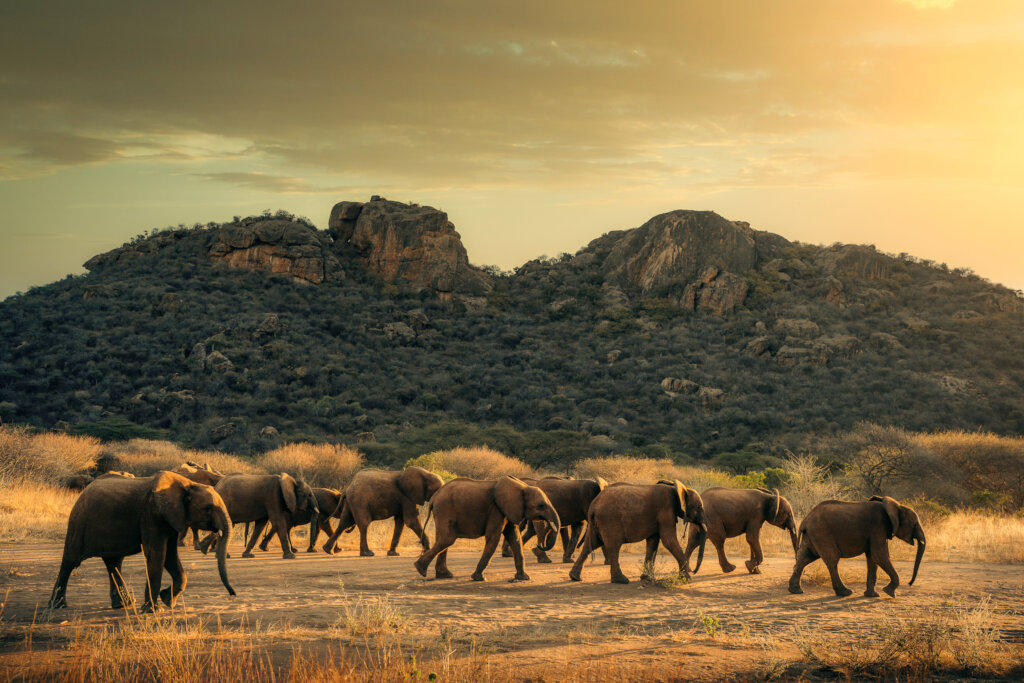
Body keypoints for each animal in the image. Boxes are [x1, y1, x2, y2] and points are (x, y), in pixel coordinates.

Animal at [47, 471, 235, 611]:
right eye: (208, 508)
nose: (233, 594)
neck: (187, 484)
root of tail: (84, 491)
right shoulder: (151, 514)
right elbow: (157, 554)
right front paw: (153, 610)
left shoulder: (171, 518)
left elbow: (170, 556)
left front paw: (167, 600)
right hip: (78, 520)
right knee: (70, 561)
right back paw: (57, 606)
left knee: (114, 563)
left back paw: (124, 605)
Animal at [413, 476, 561, 582]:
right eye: (541, 506)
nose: (539, 545)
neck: (522, 487)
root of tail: (434, 498)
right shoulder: (496, 511)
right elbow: (493, 538)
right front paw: (479, 578)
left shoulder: (508, 511)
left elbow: (515, 538)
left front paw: (523, 578)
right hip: (445, 510)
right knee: (447, 539)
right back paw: (420, 569)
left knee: (444, 541)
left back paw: (443, 575)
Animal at [569, 480, 707, 584]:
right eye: (699, 507)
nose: (694, 571)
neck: (676, 488)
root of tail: (593, 505)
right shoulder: (666, 511)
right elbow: (669, 541)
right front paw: (687, 579)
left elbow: (653, 542)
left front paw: (647, 578)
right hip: (609, 521)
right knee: (613, 546)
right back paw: (621, 580)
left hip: (596, 523)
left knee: (590, 544)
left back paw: (575, 577)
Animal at [788, 495, 926, 597]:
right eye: (914, 525)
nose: (910, 583)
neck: (897, 506)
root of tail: (805, 520)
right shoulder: (877, 526)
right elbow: (879, 556)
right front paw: (889, 593)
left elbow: (873, 558)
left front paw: (872, 595)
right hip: (822, 533)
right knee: (832, 560)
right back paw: (845, 592)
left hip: (812, 535)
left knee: (804, 558)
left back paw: (796, 590)